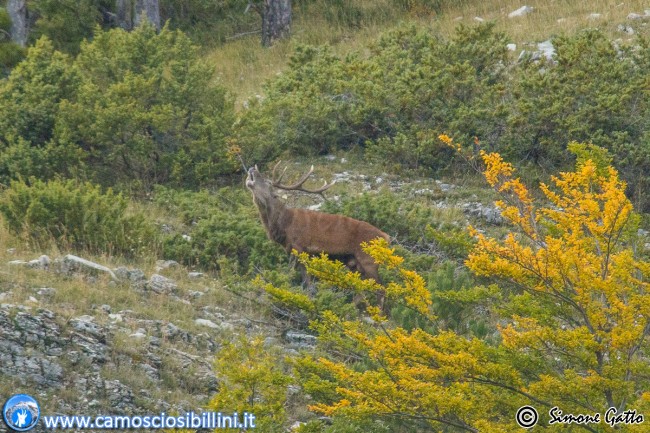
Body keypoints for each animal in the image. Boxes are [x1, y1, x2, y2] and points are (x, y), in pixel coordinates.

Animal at [246, 162, 389, 308]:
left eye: (267, 182)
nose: (252, 169)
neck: (284, 225)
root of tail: (386, 237)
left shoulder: (298, 246)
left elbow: (295, 274)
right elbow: (306, 280)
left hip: (369, 259)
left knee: (381, 289)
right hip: (354, 263)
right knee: (361, 289)